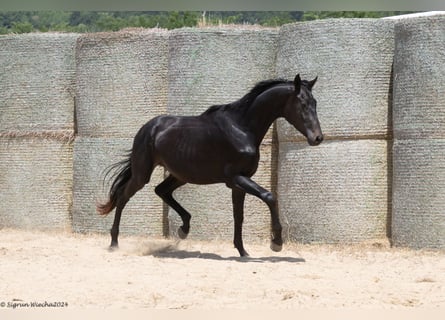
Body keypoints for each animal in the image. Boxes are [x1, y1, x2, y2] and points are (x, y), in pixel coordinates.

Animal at [99, 74, 322, 256]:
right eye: (302, 104)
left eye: (315, 103)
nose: (318, 138)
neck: (242, 128)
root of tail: (147, 128)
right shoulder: (235, 178)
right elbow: (269, 197)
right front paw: (276, 243)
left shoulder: (238, 184)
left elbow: (238, 216)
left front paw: (243, 252)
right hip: (142, 174)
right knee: (123, 197)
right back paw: (114, 243)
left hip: (180, 175)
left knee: (161, 190)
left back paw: (184, 228)